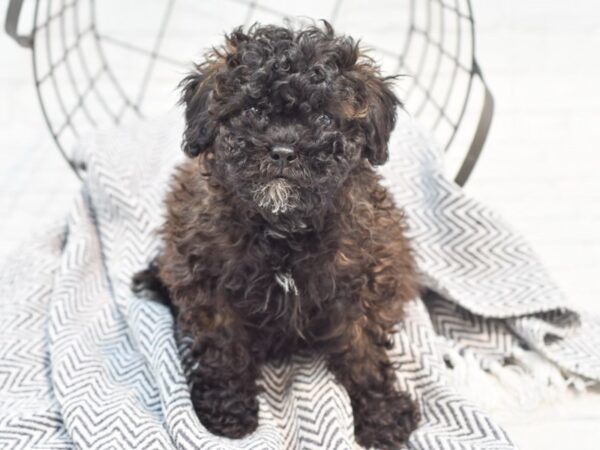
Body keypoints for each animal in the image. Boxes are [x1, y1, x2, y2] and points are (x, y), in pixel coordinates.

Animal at [134, 22, 420, 450]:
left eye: (324, 118)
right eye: (253, 111)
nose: (283, 150)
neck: (283, 227)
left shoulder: (363, 281)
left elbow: (363, 350)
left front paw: (382, 413)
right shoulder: (208, 280)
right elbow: (224, 346)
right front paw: (227, 412)